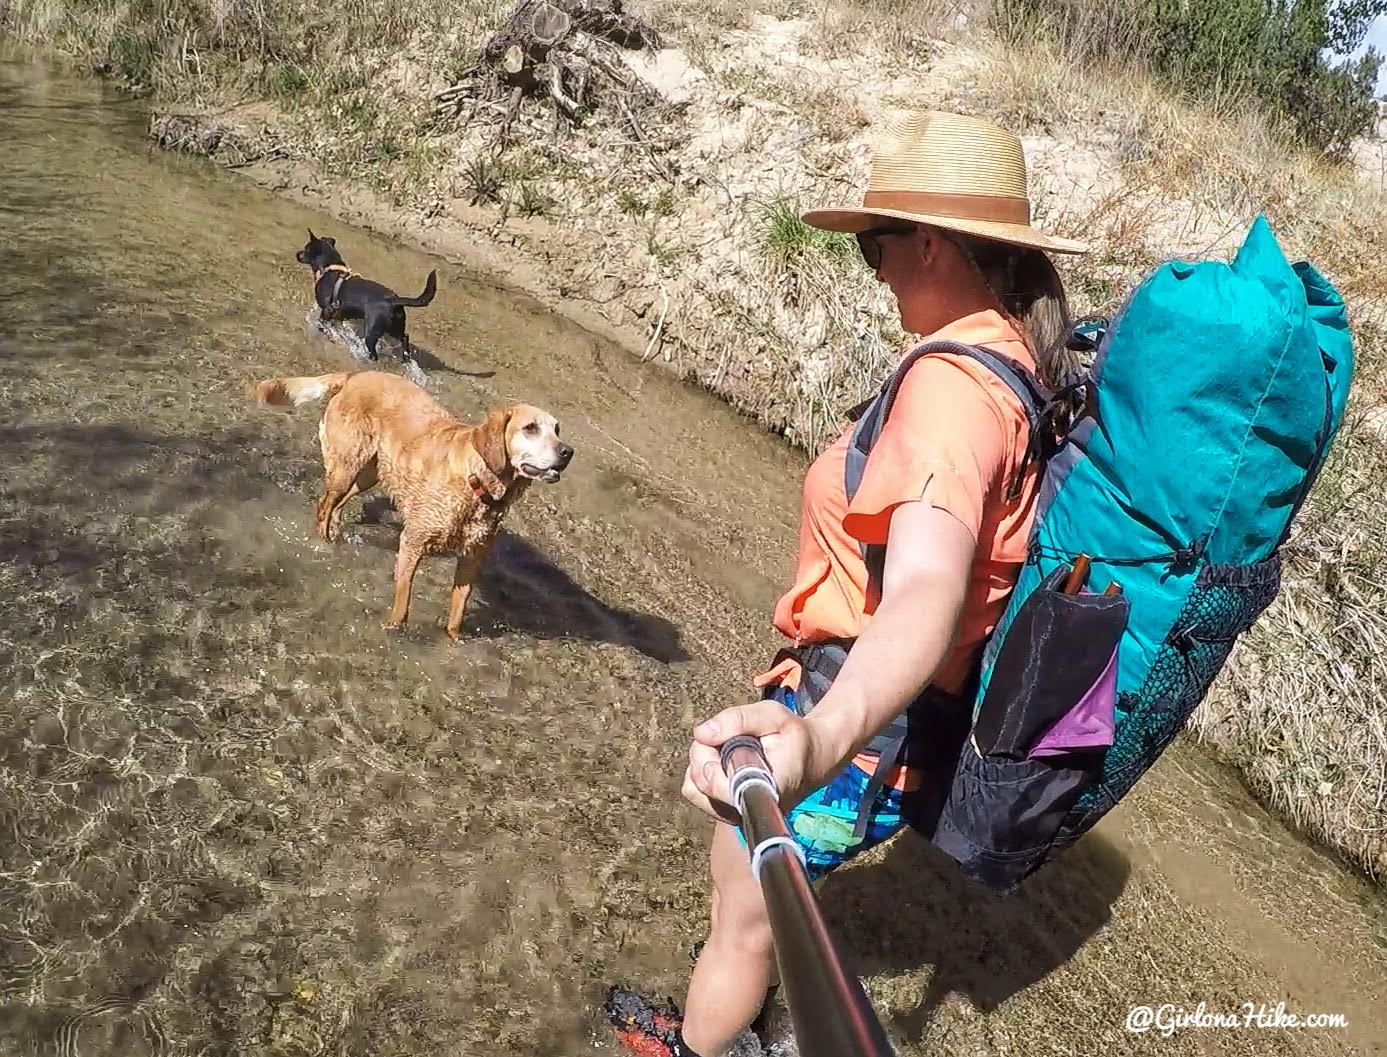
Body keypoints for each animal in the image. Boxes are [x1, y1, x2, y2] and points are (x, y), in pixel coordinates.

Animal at [295, 227, 435, 363]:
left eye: (306, 248)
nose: (297, 254)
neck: (330, 267)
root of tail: (393, 300)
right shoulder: (338, 315)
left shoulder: (327, 310)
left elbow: (321, 324)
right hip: (395, 327)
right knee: (405, 337)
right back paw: (405, 357)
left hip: (372, 331)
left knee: (374, 353)